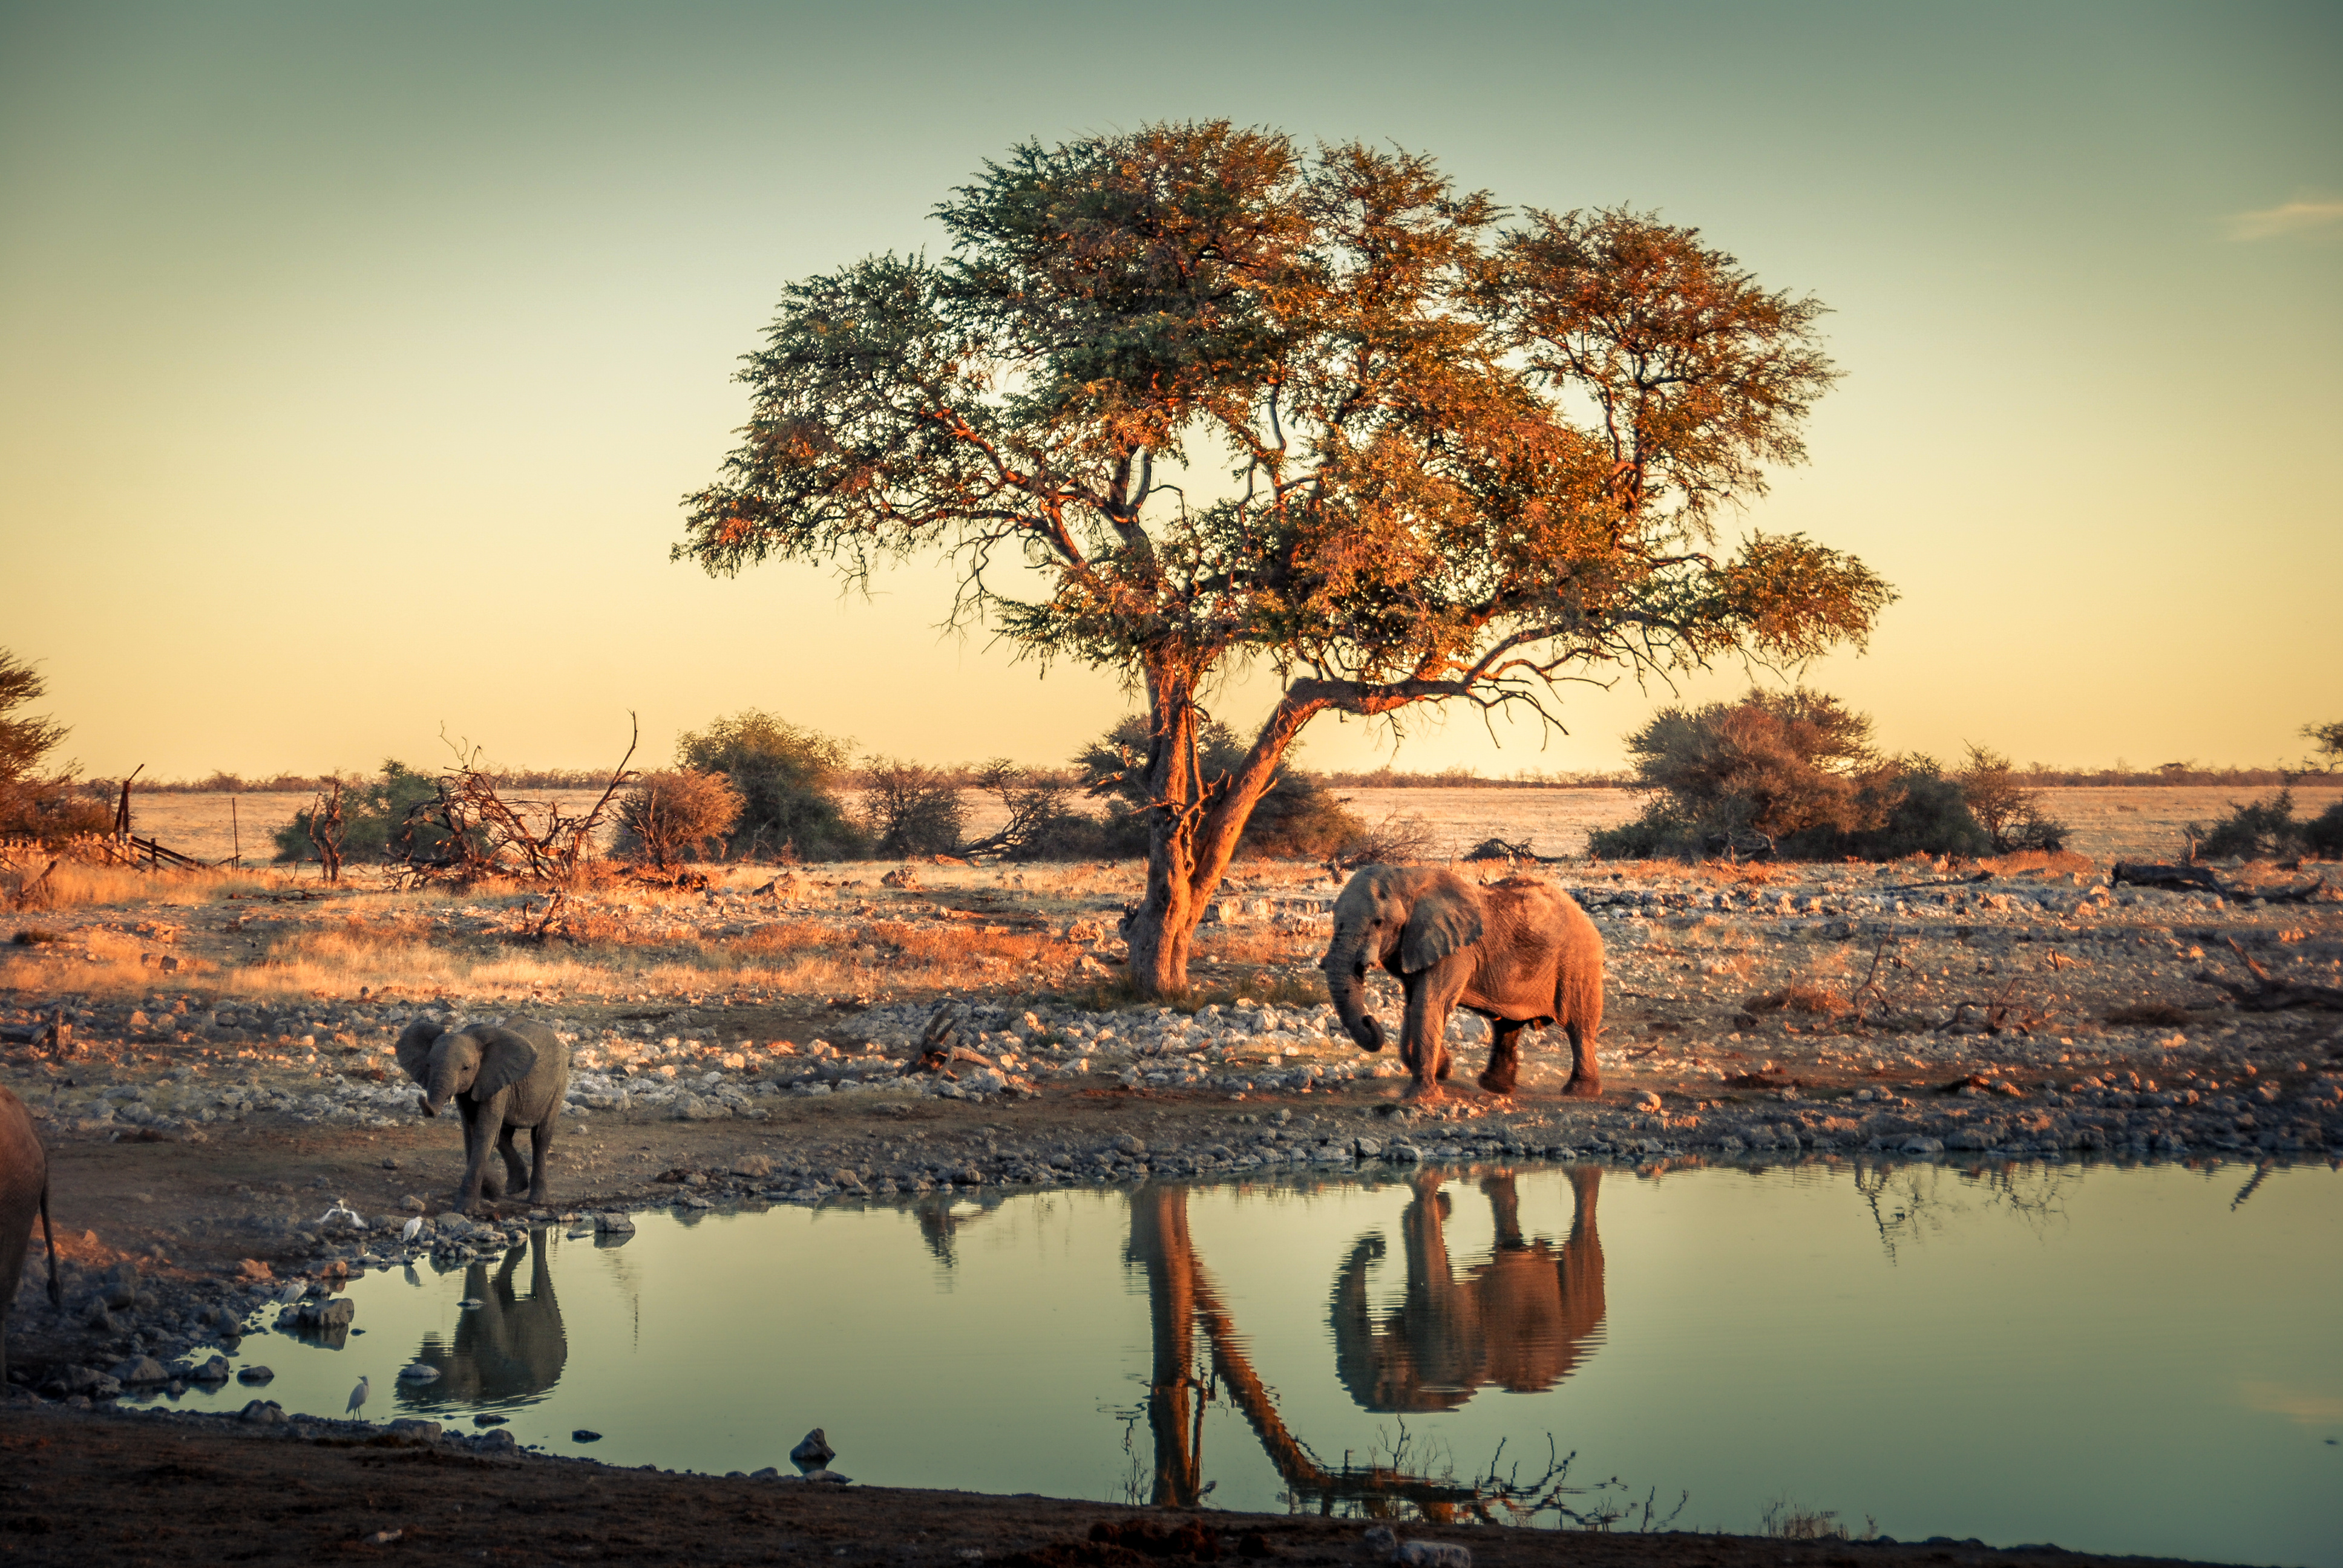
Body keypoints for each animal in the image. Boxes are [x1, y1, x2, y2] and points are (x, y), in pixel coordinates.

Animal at [395, 1016, 570, 1213]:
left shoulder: (495, 1081)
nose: (421, 1099)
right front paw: (492, 1193)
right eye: (428, 1065)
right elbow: (472, 1133)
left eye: (466, 1068)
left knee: (540, 1136)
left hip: (559, 1081)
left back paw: (537, 1201)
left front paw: (465, 1210)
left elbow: (484, 1133)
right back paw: (514, 1189)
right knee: (503, 1136)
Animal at [1321, 864, 1605, 1100]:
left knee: (1579, 1026)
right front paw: (1444, 1068)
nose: (1370, 1020)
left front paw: (1422, 1097)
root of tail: (1583, 914)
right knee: (1507, 1026)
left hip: (1578, 963)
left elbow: (1430, 1003)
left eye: (1378, 922)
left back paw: (1579, 1092)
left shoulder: (1456, 952)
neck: (1407, 877)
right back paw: (1496, 1088)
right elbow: (1414, 1006)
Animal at [1330, 1166, 1606, 1413]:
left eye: (1379, 1376)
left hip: (1579, 1298)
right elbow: (1413, 1220)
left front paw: (1431, 1191)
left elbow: (1421, 1224)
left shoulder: (1444, 1339)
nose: (1378, 1246)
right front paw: (1443, 1204)